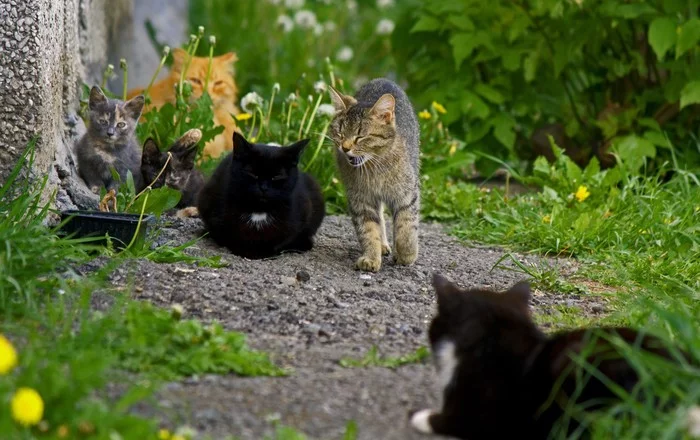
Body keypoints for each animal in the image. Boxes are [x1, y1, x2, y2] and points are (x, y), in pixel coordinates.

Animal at [197, 132, 326, 260]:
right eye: (252, 173)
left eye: (277, 176)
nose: (264, 187)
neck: (259, 210)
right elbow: (227, 234)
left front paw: (263, 252)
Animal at [330, 78, 422, 272]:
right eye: (340, 133)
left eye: (360, 136)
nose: (345, 147)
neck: (373, 169)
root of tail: (382, 78)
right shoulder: (360, 199)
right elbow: (369, 230)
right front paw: (372, 257)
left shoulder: (407, 194)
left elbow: (406, 226)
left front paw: (406, 254)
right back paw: (383, 245)